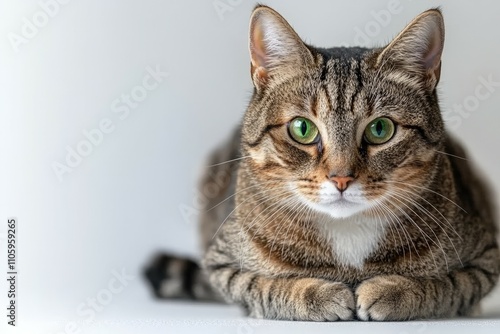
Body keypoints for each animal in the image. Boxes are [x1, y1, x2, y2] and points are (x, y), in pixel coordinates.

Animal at [143, 3, 498, 320]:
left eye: (380, 129)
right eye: (302, 128)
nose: (341, 178)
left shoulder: (487, 258)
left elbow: (446, 286)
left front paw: (393, 291)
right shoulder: (221, 263)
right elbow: (262, 286)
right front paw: (317, 294)